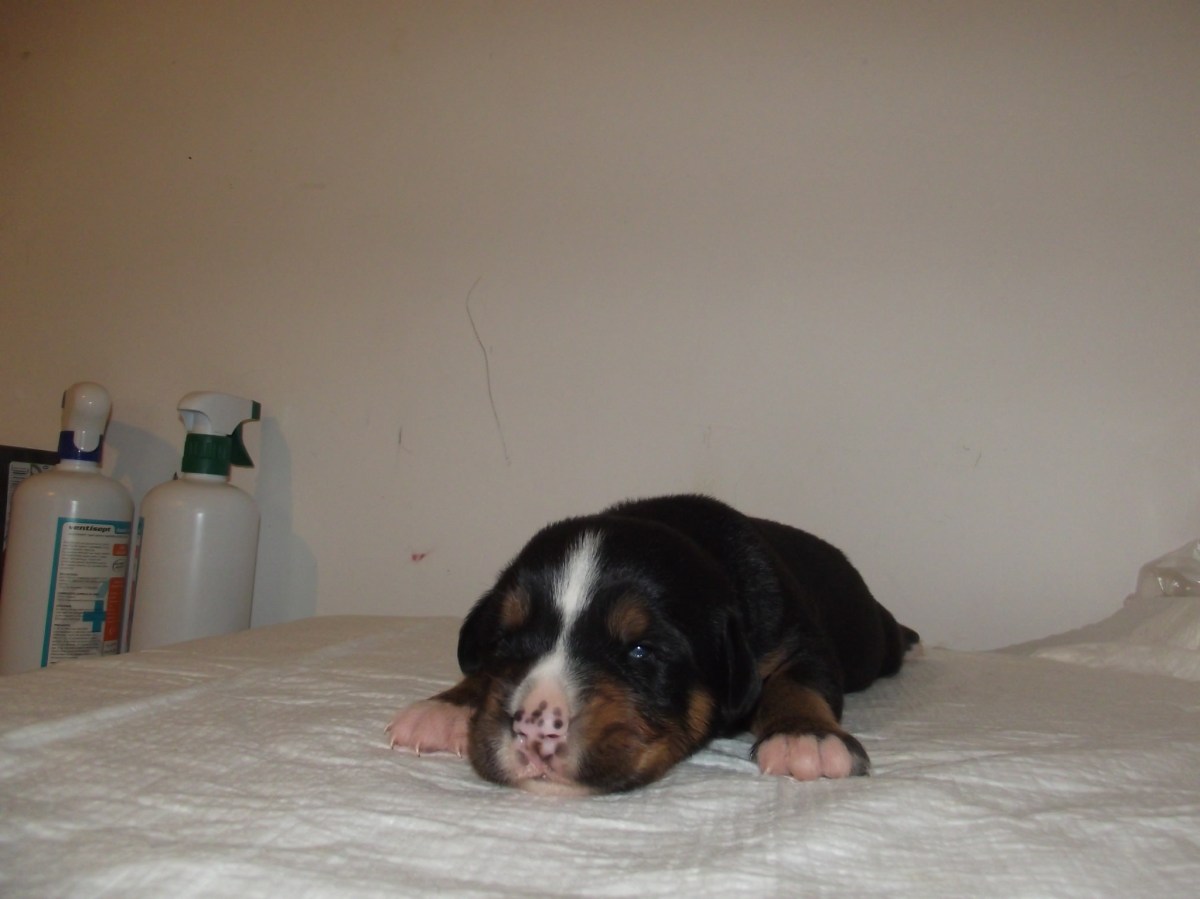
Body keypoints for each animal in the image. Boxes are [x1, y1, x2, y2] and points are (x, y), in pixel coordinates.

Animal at [386, 494, 918, 795]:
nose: (536, 729)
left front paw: (805, 736)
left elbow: (797, 684)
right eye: (506, 641)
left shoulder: (796, 640)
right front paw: (446, 706)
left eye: (640, 652)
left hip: (871, 639)